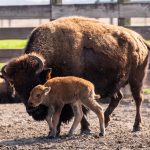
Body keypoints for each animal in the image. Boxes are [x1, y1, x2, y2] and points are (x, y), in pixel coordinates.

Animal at [1, 16, 149, 134]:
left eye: (36, 80)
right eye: (17, 87)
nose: (32, 109)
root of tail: (140, 40)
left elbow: (79, 110)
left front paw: (85, 129)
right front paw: (56, 130)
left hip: (137, 78)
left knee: (138, 99)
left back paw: (136, 126)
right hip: (114, 83)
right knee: (117, 98)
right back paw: (106, 122)